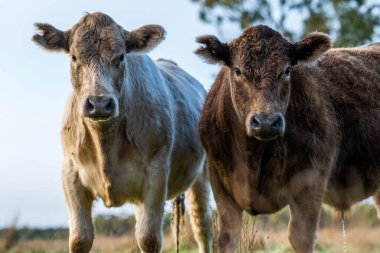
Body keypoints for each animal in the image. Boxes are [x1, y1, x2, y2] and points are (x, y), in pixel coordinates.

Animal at [194, 26, 380, 253]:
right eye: (238, 70)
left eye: (287, 70)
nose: (266, 121)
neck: (253, 159)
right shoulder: (221, 184)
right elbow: (227, 238)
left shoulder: (311, 181)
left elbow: (300, 237)